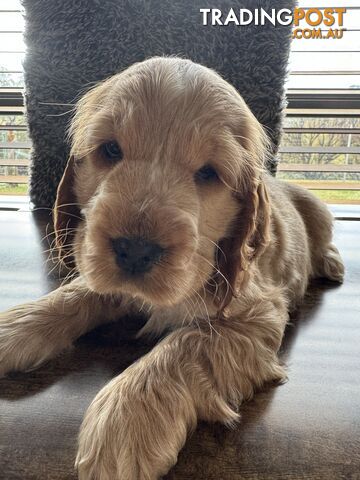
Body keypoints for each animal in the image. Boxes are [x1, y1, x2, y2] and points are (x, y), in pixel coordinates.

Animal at [0, 57, 344, 480]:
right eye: (110, 149)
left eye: (209, 173)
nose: (135, 250)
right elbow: (76, 293)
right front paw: (15, 327)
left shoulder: (258, 314)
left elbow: (189, 341)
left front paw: (126, 418)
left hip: (319, 211)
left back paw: (331, 262)